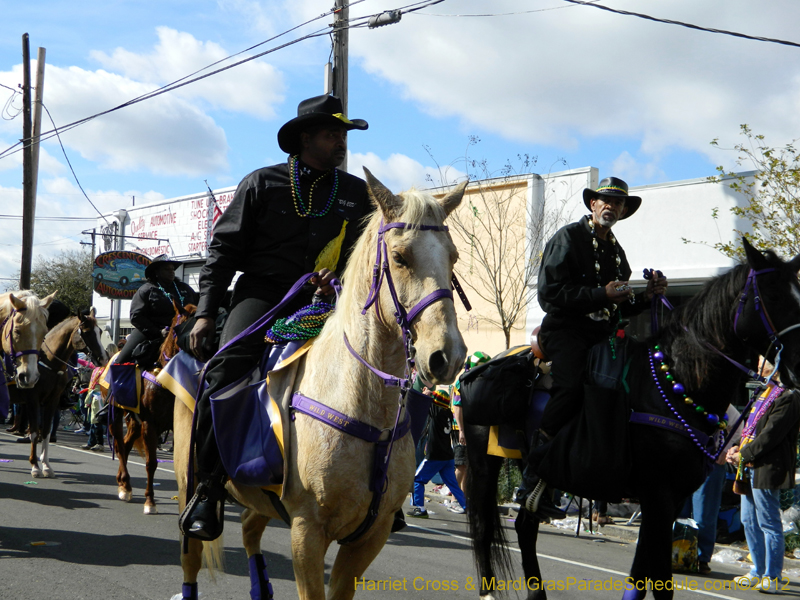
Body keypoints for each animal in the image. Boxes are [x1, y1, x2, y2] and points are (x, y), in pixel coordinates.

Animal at [10, 310, 110, 478]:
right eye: (87, 332)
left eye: (100, 331)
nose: (103, 359)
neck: (49, 363)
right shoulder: (33, 401)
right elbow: (35, 431)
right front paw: (35, 466)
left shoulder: (52, 401)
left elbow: (46, 431)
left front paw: (46, 466)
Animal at [172, 170, 466, 600]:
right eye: (399, 257)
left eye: (453, 256)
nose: (448, 356)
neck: (362, 404)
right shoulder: (308, 532)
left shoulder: (370, 536)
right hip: (186, 480)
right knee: (191, 557)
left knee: (249, 529)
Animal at [466, 239, 800, 600]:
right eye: (774, 296)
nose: (797, 366)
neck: (676, 382)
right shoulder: (658, 495)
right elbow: (661, 582)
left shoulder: (669, 499)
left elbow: (640, 577)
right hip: (484, 462)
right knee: (484, 526)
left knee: (525, 526)